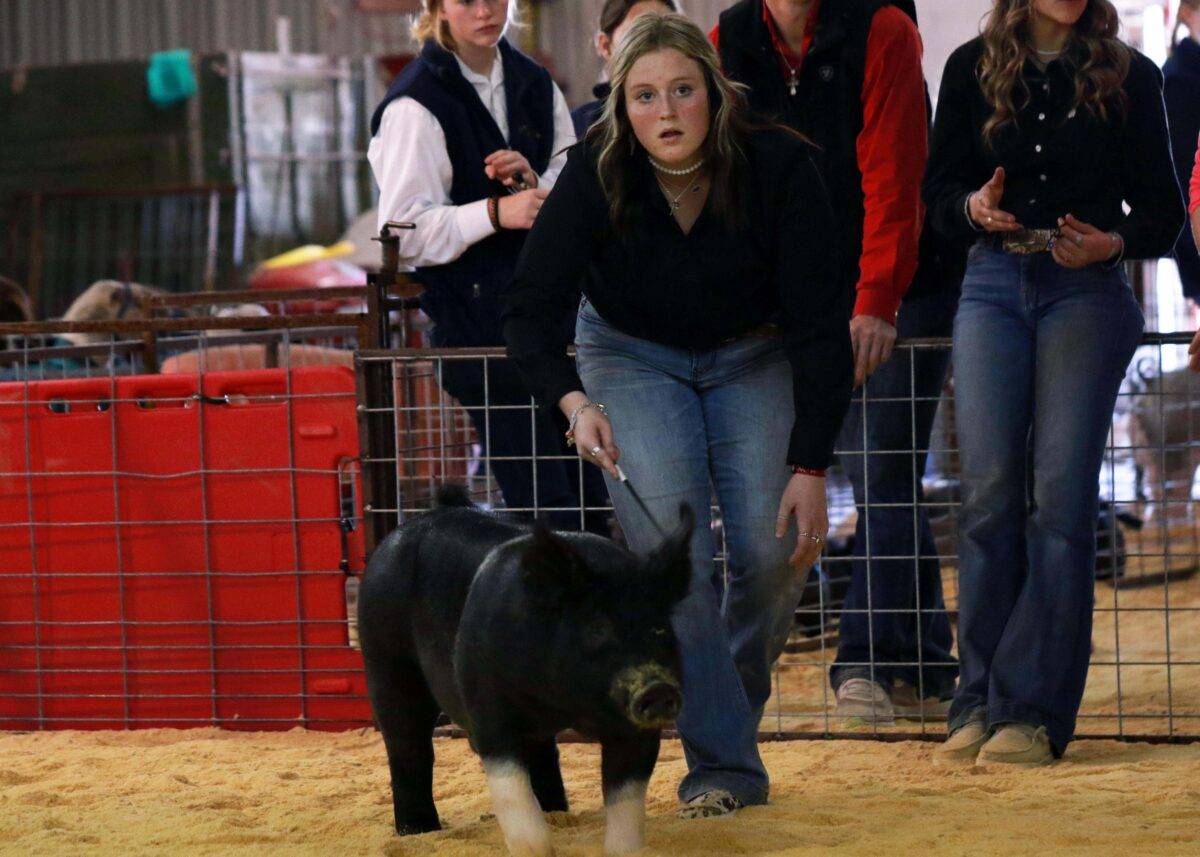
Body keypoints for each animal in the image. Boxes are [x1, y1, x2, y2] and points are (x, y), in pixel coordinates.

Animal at [357, 487, 696, 854]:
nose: (657, 689)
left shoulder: (634, 732)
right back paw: (418, 830)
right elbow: (513, 796)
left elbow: (626, 809)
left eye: (659, 630)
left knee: (543, 750)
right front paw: (537, 847)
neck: (563, 702)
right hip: (384, 657)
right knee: (407, 744)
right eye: (596, 629)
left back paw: (557, 810)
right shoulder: (487, 706)